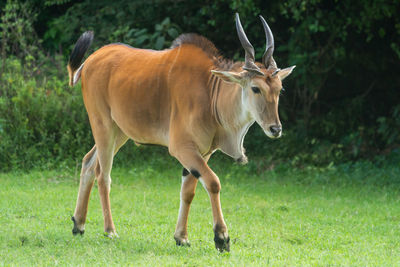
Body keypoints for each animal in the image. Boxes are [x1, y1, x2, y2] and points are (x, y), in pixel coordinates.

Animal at [68, 13, 294, 252]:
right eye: (255, 88)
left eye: (279, 89)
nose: (275, 129)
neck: (210, 91)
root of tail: (90, 61)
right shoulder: (182, 148)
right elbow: (213, 182)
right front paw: (221, 237)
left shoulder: (202, 153)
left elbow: (188, 191)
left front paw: (181, 237)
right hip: (103, 125)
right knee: (103, 175)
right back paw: (110, 230)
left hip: (120, 132)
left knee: (88, 162)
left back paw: (79, 224)